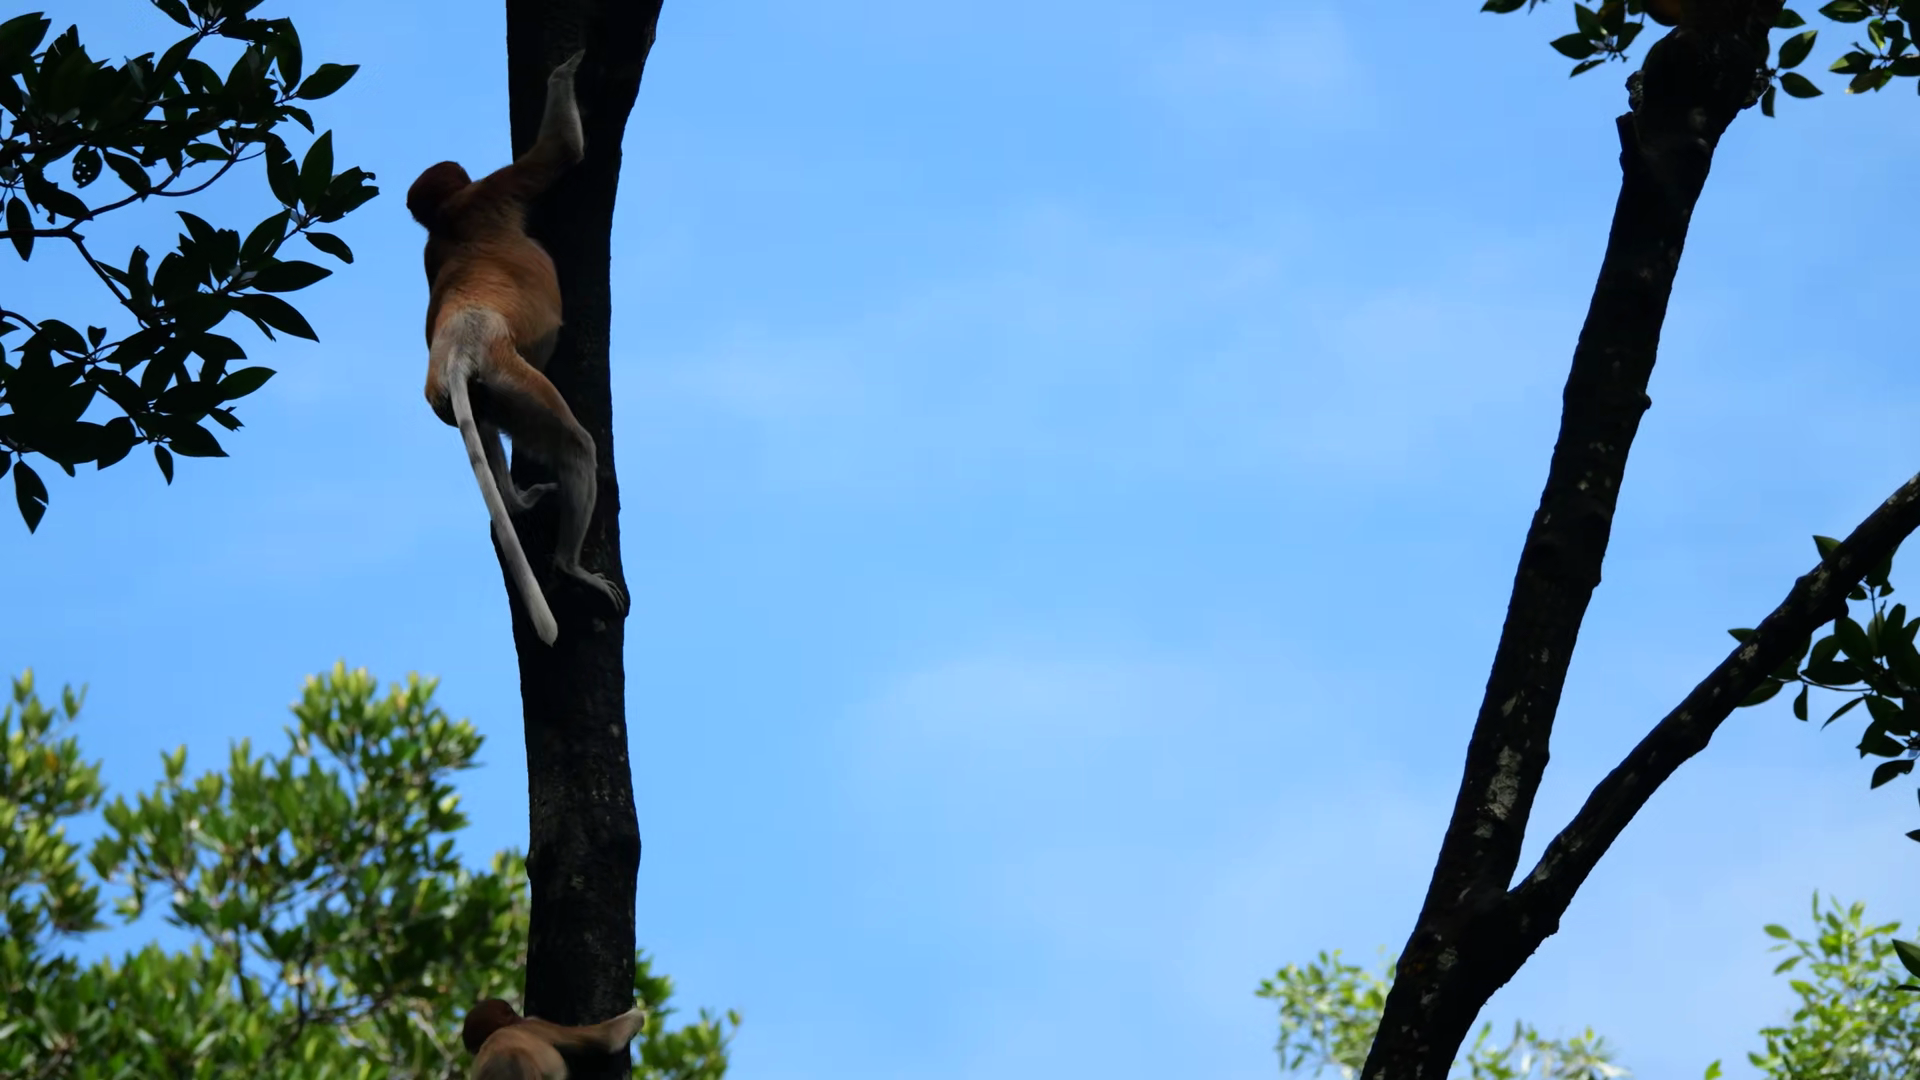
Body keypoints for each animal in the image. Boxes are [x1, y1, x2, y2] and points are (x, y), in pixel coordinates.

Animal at [405, 49, 625, 646]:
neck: (448, 217)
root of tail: (458, 350)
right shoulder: (490, 189)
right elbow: (562, 152)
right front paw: (566, 69)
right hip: (513, 376)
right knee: (576, 446)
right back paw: (572, 568)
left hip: (475, 395)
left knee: (484, 426)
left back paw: (519, 499)